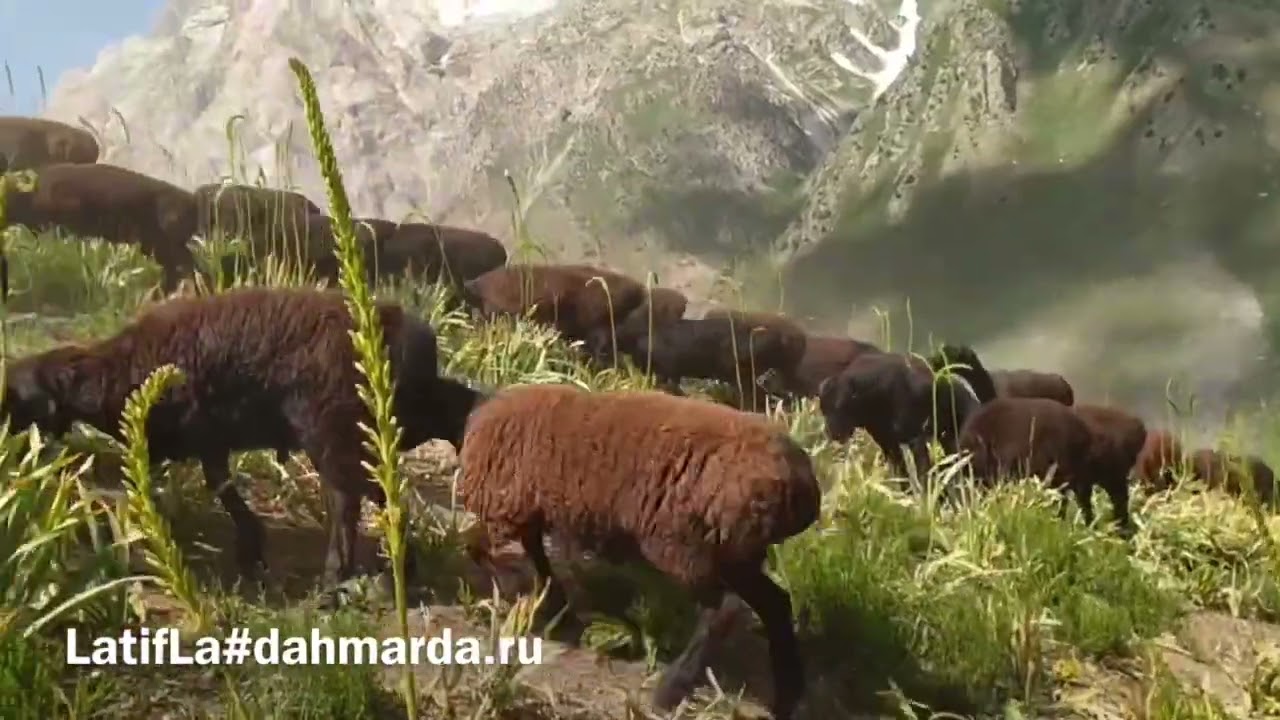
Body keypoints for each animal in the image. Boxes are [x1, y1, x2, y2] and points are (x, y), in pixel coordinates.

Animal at [0, 287, 482, 587]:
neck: (116, 373)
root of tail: (402, 331)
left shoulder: (199, 435)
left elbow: (217, 487)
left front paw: (250, 551)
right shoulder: (210, 440)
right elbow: (223, 486)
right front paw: (251, 548)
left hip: (330, 430)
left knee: (348, 499)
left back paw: (337, 578)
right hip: (384, 423)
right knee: (400, 468)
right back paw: (403, 563)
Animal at [458, 383, 818, 719]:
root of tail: (800, 486)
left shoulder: (509, 511)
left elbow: (505, 554)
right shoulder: (535, 515)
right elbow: (541, 560)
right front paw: (555, 608)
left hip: (685, 544)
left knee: (725, 609)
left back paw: (670, 689)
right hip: (734, 552)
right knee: (775, 604)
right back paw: (787, 698)